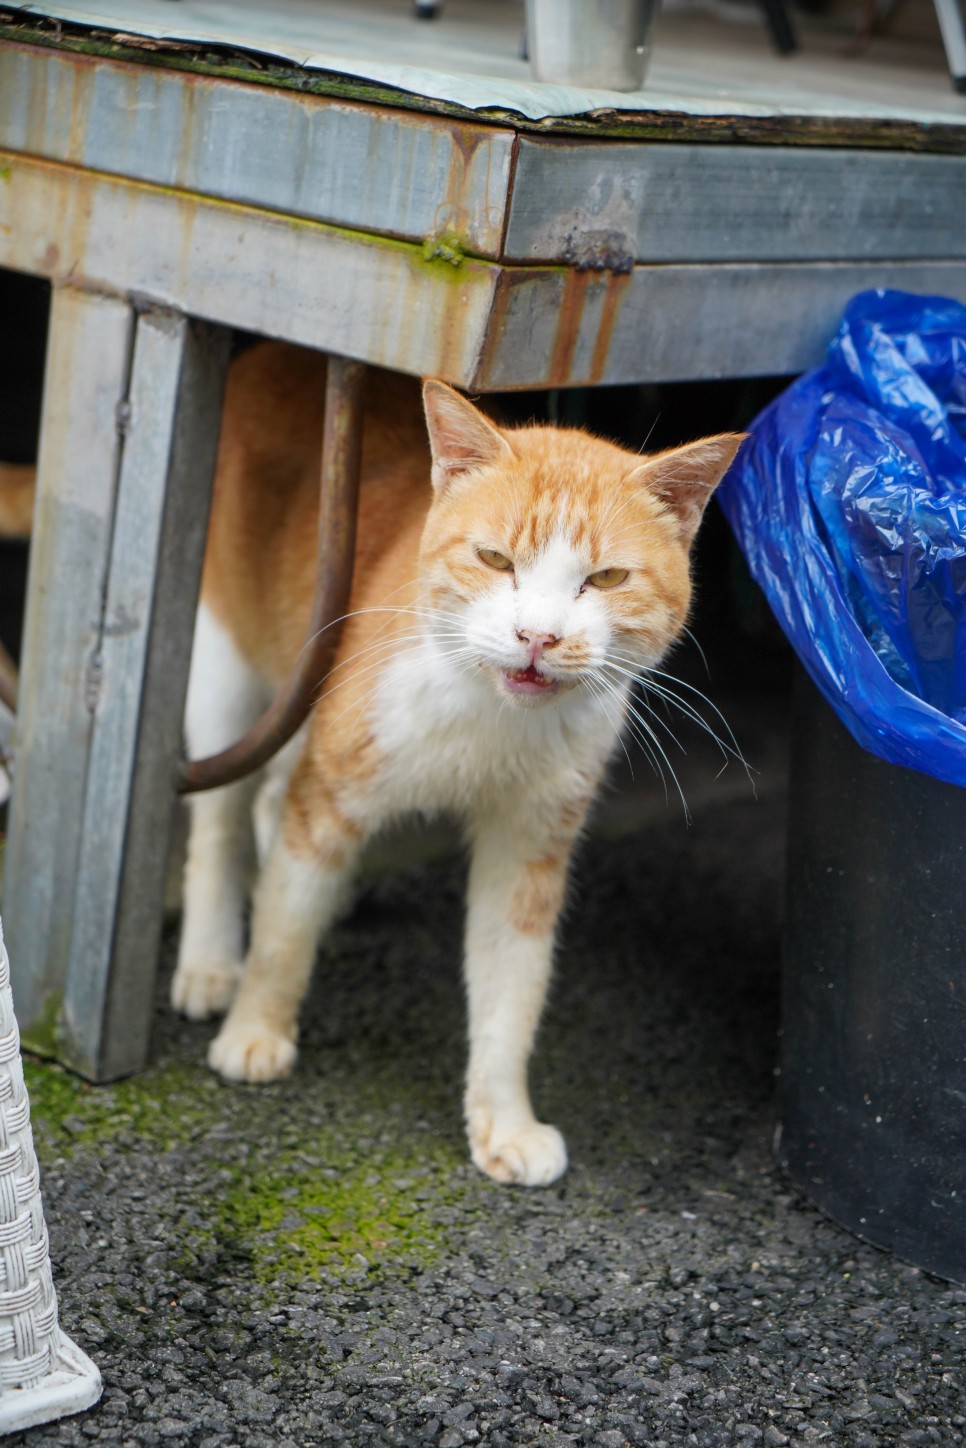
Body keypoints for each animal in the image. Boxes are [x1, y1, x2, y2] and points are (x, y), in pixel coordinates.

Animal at [0, 347, 747, 1187]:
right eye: (495, 560)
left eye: (607, 579)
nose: (538, 636)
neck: (488, 719)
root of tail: (264, 355)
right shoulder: (331, 779)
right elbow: (285, 927)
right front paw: (255, 1029)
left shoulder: (530, 845)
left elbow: (512, 989)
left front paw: (503, 1120)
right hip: (230, 669)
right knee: (223, 820)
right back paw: (212, 960)